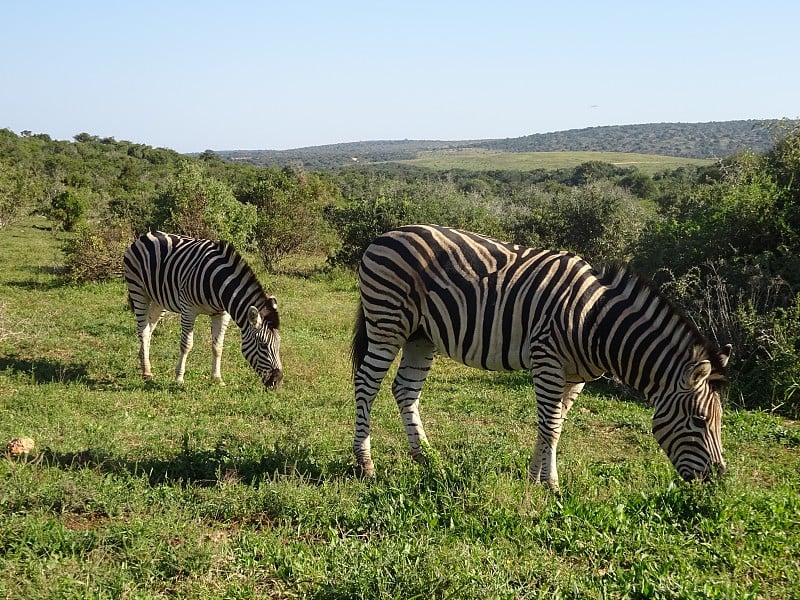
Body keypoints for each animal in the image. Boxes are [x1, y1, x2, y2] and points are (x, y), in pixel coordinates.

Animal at [123, 230, 282, 390]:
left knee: (149, 329)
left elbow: (218, 346)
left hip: (159, 300)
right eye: (263, 345)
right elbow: (186, 345)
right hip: (138, 290)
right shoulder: (188, 309)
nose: (278, 381)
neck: (218, 283)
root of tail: (148, 234)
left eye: (279, 343)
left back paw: (144, 363)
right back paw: (146, 372)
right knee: (143, 331)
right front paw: (179, 378)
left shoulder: (222, 314)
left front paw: (217, 378)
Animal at [350, 225, 732, 488]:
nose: (719, 480)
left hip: (421, 336)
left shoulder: (575, 378)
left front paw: (541, 480)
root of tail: (384, 236)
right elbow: (549, 426)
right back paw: (365, 464)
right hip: (387, 324)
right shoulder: (547, 361)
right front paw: (545, 484)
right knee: (366, 385)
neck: (595, 323)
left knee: (405, 390)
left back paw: (426, 458)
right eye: (699, 421)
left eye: (719, 422)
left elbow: (555, 425)